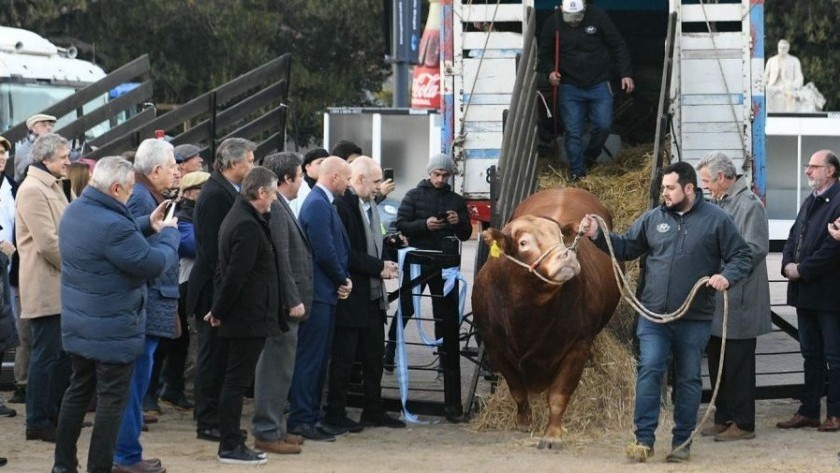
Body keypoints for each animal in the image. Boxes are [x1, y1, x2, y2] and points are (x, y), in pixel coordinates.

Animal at [472, 187, 624, 446]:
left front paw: (553, 434)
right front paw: (524, 421)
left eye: (561, 237)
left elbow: (558, 395)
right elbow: (517, 390)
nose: (567, 256)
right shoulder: (495, 346)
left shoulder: (578, 345)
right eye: (524, 242)